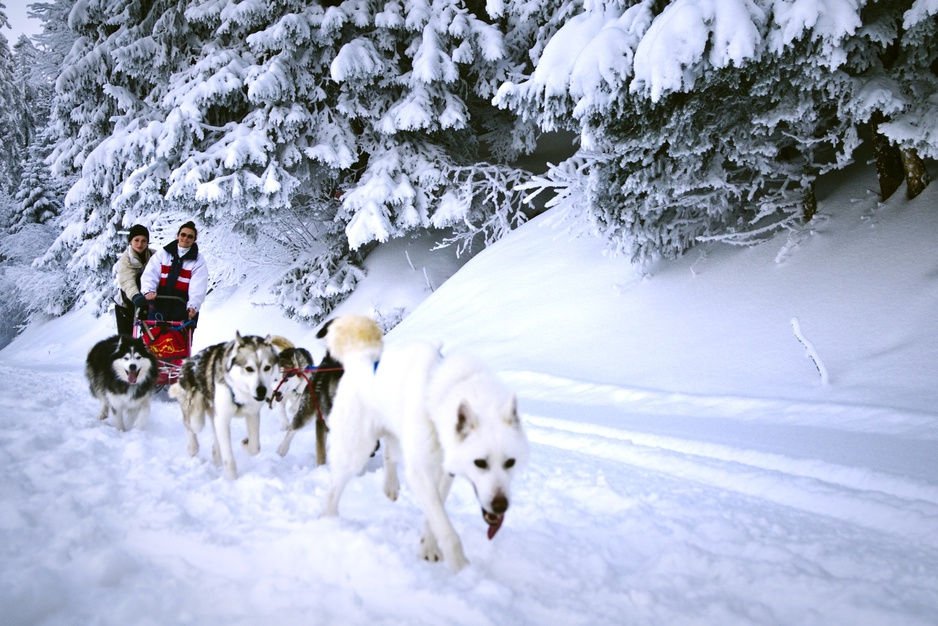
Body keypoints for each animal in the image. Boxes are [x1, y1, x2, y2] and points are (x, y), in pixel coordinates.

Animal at [320, 312, 528, 572]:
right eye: (480, 463)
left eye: (510, 463)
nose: (501, 505)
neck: (442, 394)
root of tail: (359, 359)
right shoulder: (421, 471)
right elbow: (445, 528)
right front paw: (460, 567)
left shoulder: (444, 471)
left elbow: (434, 515)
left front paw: (428, 547)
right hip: (357, 451)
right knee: (333, 489)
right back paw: (329, 522)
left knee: (389, 453)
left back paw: (390, 485)